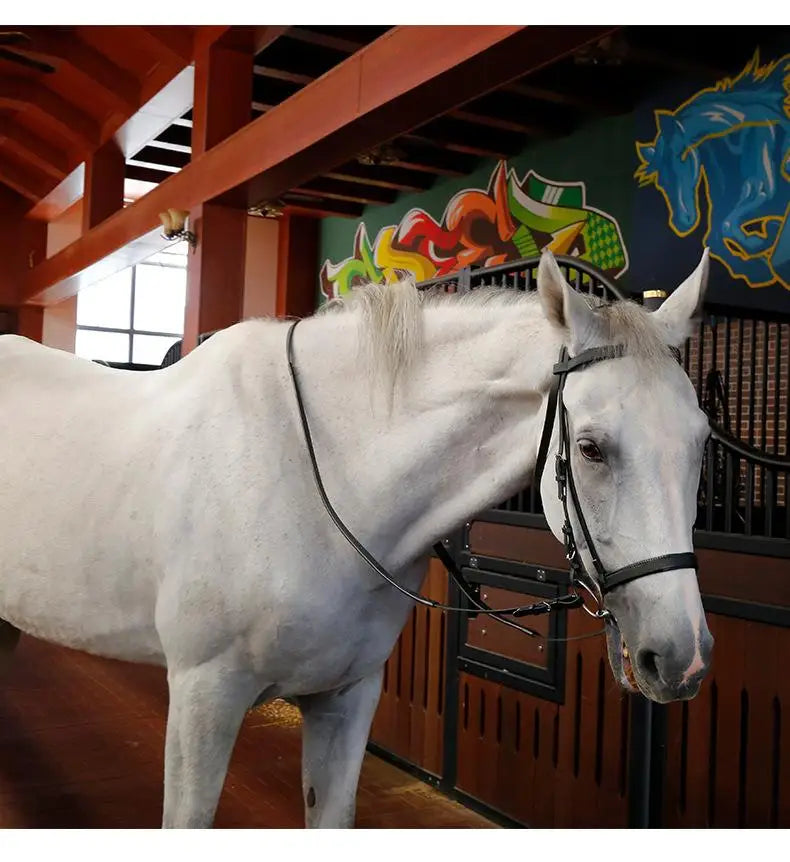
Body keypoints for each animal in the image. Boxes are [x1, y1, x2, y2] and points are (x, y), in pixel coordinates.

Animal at [0, 250, 713, 828]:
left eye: (703, 440)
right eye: (590, 448)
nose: (684, 658)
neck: (317, 479)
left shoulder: (346, 699)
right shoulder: (204, 698)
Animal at [636, 52, 790, 288]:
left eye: (682, 157)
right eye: (661, 183)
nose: (681, 222)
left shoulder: (764, 194)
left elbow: (727, 226)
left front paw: (760, 242)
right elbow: (715, 236)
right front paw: (756, 265)